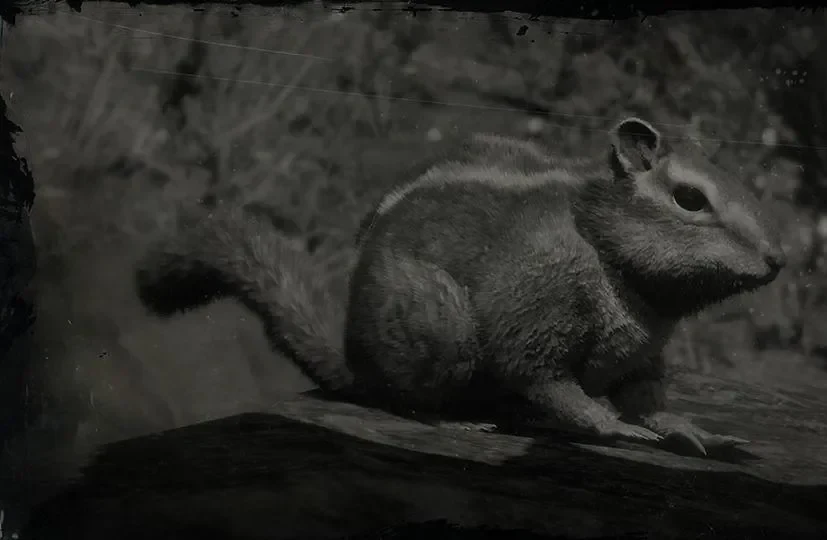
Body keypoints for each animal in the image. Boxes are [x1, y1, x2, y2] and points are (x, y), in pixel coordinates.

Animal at [135, 117, 786, 456]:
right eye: (690, 198)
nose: (778, 259)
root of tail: (353, 361)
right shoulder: (539, 302)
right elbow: (547, 378)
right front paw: (608, 426)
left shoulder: (645, 356)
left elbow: (648, 399)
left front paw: (692, 429)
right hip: (440, 324)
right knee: (407, 399)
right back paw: (456, 421)